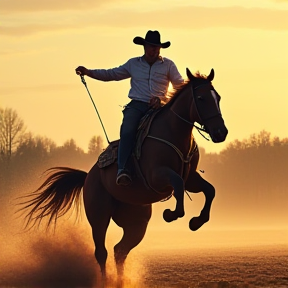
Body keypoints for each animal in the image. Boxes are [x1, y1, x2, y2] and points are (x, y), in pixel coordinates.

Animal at [20, 67, 227, 280]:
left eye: (217, 97)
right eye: (201, 98)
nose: (221, 133)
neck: (171, 133)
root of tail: (88, 177)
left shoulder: (191, 178)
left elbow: (209, 190)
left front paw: (196, 221)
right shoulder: (158, 176)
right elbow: (177, 185)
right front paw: (170, 214)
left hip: (136, 223)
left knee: (120, 250)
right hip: (99, 216)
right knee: (101, 252)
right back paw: (105, 281)